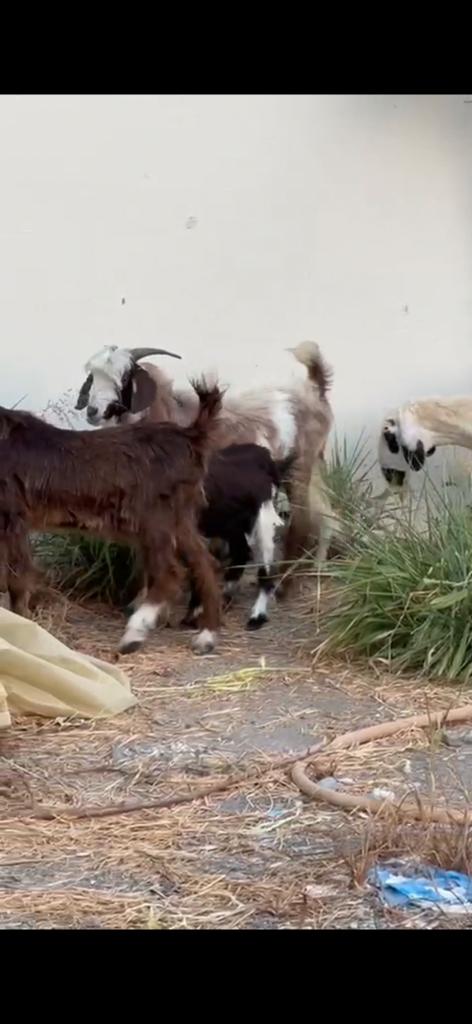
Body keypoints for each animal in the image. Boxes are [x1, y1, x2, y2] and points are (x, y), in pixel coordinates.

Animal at [0, 380, 224, 656]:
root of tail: (191, 435)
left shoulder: (12, 516)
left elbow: (17, 578)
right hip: (178, 519)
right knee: (205, 563)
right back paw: (207, 636)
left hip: (152, 518)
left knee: (170, 572)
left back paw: (134, 634)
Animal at [75, 341, 337, 576]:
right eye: (93, 376)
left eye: (124, 378)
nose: (92, 412)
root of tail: (316, 389)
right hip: (313, 464)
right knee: (326, 511)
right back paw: (319, 566)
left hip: (300, 467)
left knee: (303, 519)